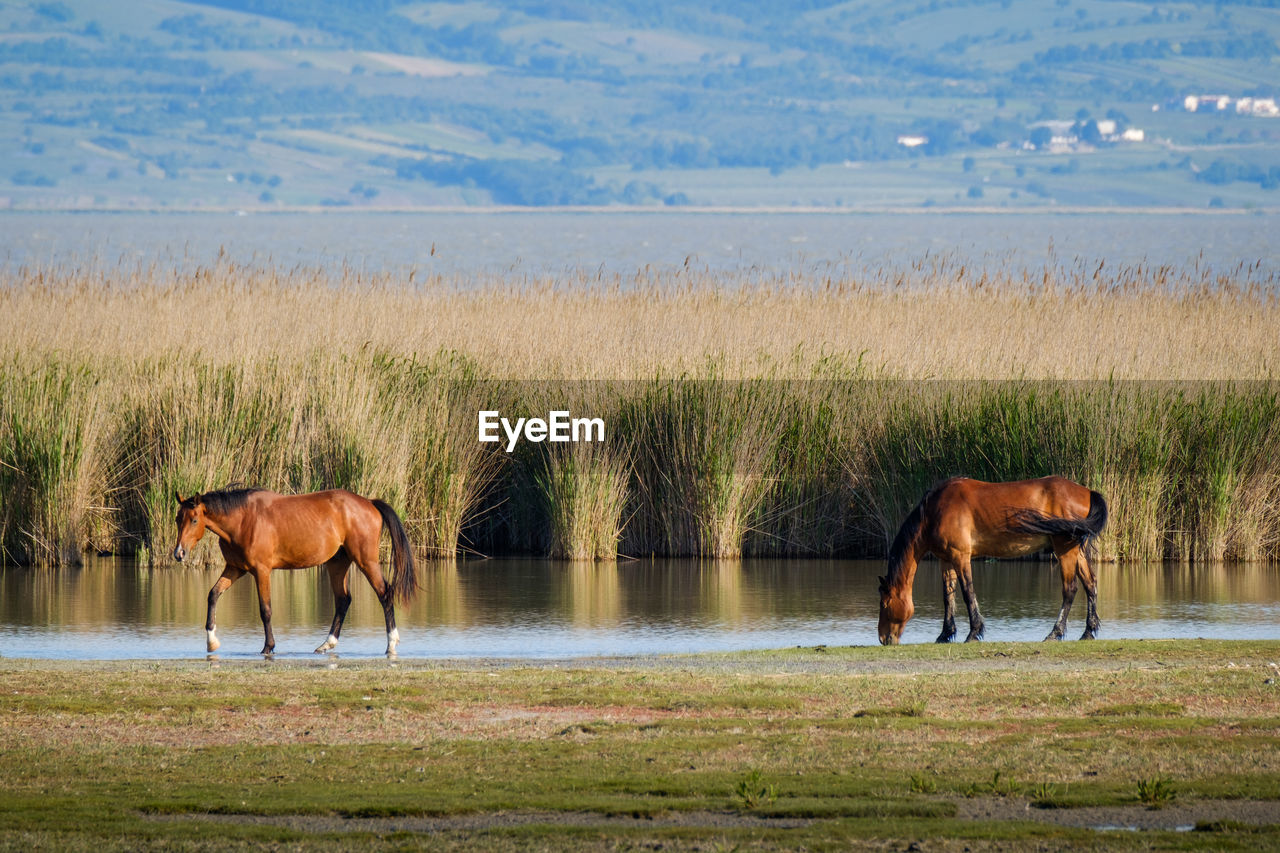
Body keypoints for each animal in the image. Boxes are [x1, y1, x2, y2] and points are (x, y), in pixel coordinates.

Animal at [170, 484, 417, 650]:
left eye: (194, 520)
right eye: (177, 519)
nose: (179, 553)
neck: (243, 520)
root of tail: (370, 502)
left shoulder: (261, 571)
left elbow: (265, 610)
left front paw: (268, 646)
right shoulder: (235, 568)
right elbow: (213, 595)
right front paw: (212, 642)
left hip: (366, 561)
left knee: (385, 593)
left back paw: (392, 642)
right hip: (338, 563)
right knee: (343, 600)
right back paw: (327, 644)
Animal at [875, 473, 1105, 640]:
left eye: (884, 604)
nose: (883, 638)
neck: (934, 512)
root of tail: (1087, 492)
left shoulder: (961, 556)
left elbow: (968, 593)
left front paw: (974, 632)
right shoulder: (946, 560)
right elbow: (948, 597)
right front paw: (945, 635)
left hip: (1064, 549)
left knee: (1070, 589)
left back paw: (1054, 633)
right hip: (1076, 551)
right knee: (1091, 583)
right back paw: (1088, 632)